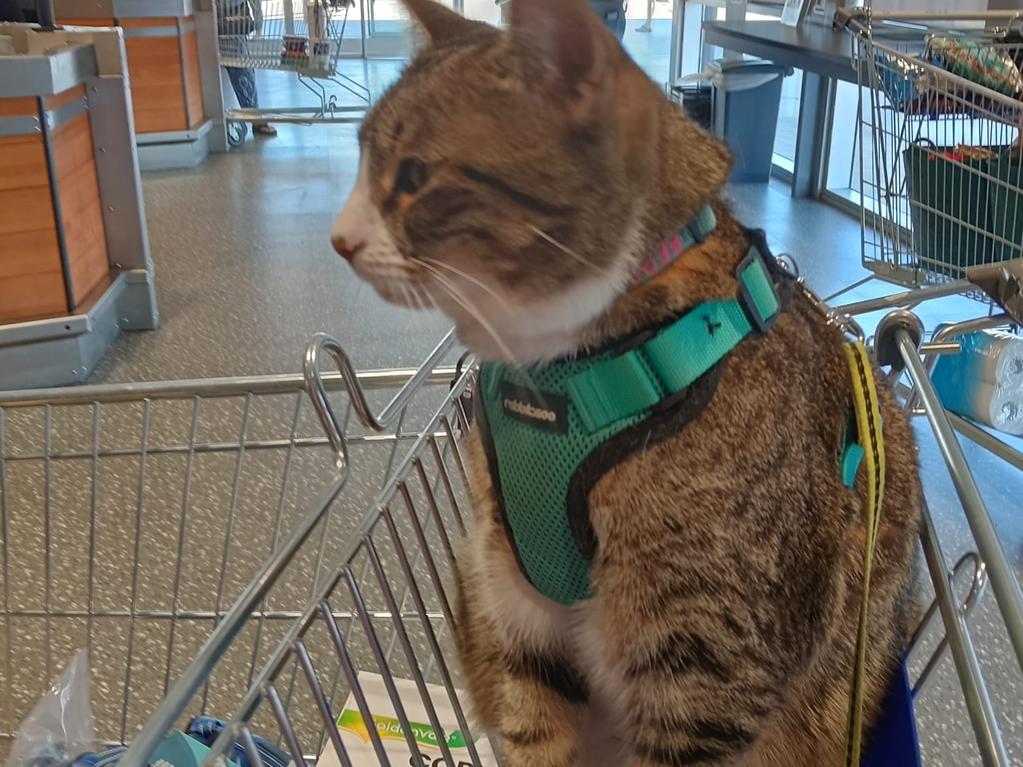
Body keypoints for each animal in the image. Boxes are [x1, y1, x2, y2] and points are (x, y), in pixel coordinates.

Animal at [331, 0, 924, 764]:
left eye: (412, 175)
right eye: (362, 158)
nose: (338, 239)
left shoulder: (705, 672)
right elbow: (533, 725)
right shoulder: (518, 612)